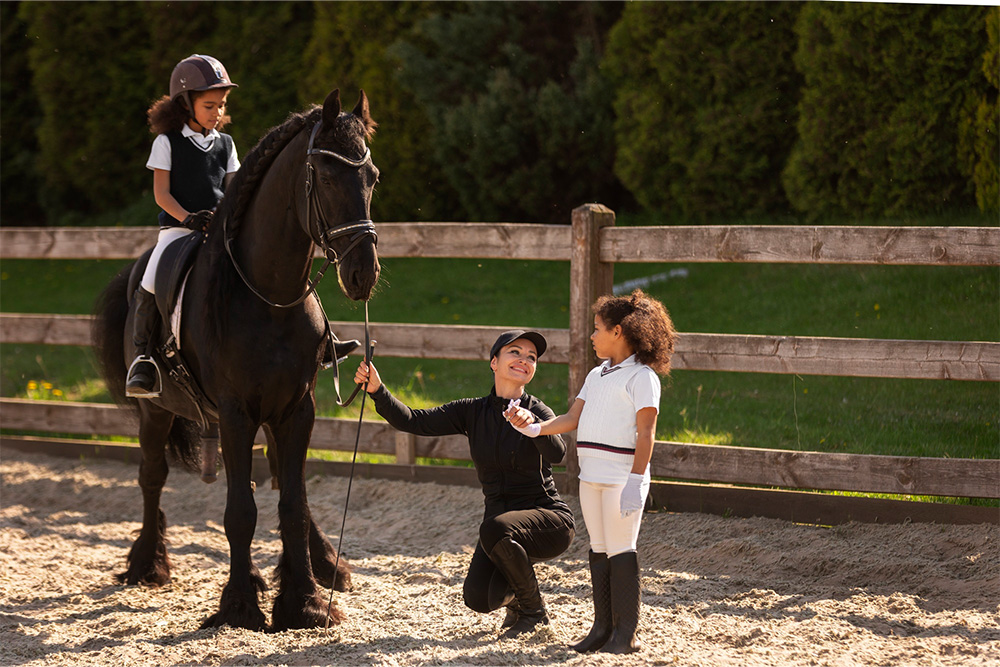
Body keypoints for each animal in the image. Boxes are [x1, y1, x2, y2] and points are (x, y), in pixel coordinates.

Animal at [93, 88, 378, 632]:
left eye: (371, 177)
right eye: (326, 176)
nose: (363, 274)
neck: (269, 295)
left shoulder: (296, 408)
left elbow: (291, 501)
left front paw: (305, 601)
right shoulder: (234, 411)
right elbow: (240, 512)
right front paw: (241, 606)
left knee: (274, 479)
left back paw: (318, 565)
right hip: (157, 411)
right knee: (152, 476)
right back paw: (147, 564)